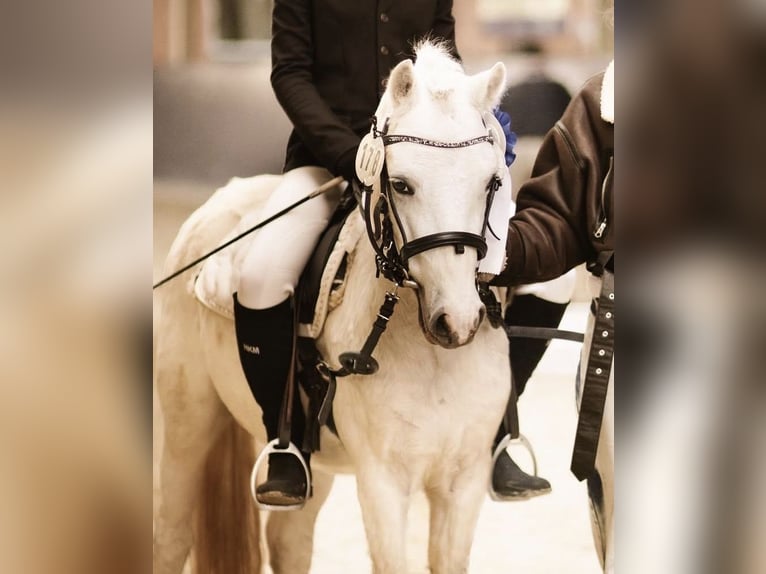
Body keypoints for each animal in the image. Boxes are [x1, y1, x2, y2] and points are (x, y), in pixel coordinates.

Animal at [154, 42, 513, 574]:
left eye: (491, 182)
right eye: (402, 184)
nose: (457, 321)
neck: (433, 357)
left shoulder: (462, 484)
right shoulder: (383, 483)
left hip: (312, 458)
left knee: (289, 540)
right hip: (189, 422)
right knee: (171, 532)